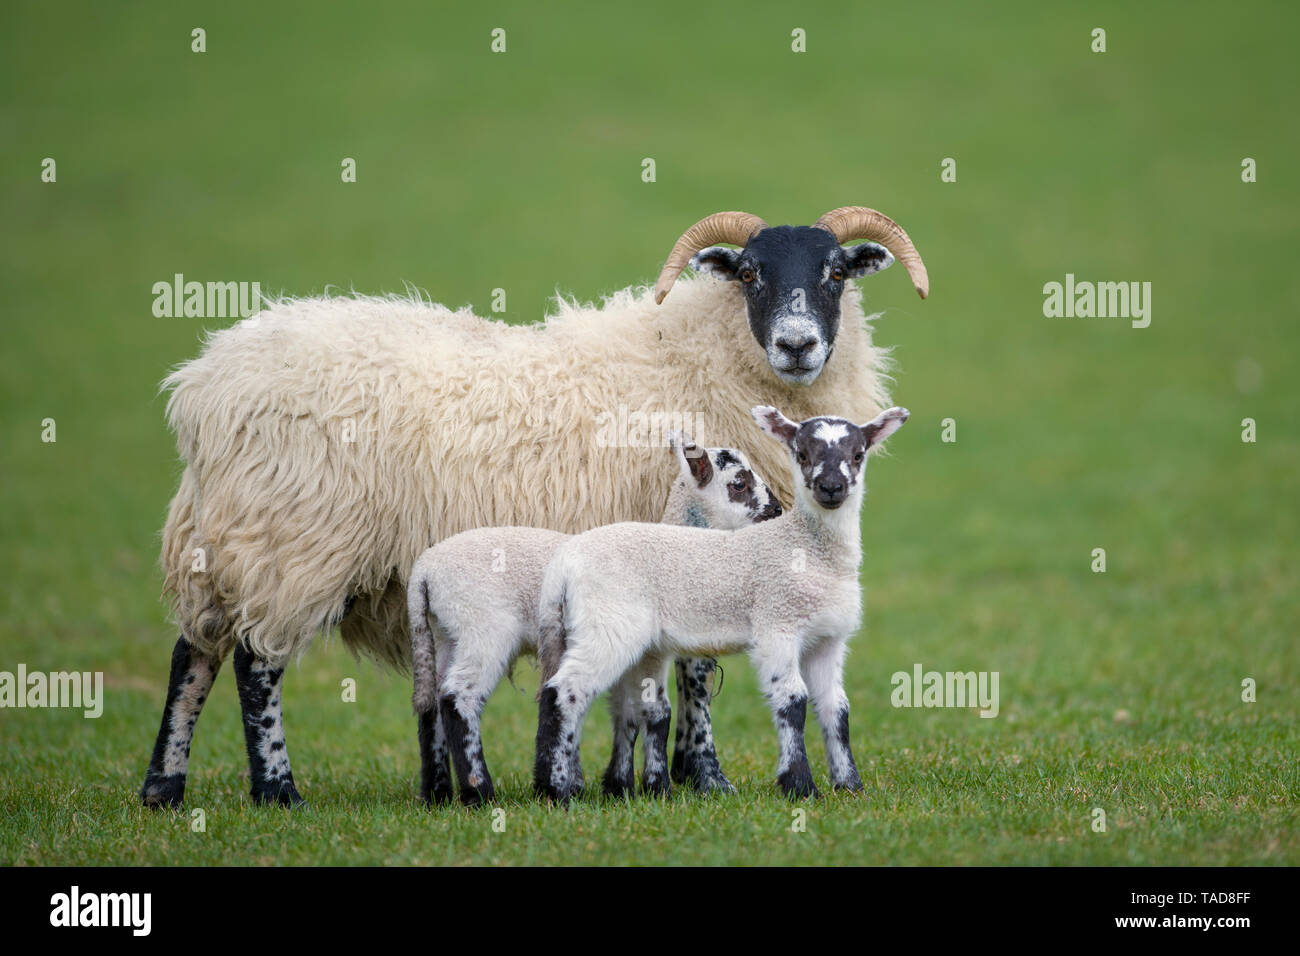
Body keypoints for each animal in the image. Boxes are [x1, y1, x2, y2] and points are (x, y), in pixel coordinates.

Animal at [405, 437, 774, 806]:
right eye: (740, 483)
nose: (777, 511)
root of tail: (424, 572)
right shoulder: (646, 650)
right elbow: (655, 714)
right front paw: (654, 790)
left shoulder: (638, 654)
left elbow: (630, 714)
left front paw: (620, 787)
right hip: (485, 629)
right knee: (459, 698)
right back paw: (482, 792)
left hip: (446, 634)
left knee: (431, 705)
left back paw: (437, 793)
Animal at [533, 400, 909, 806]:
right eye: (802, 454)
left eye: (858, 454)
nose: (831, 488)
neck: (806, 548)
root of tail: (563, 564)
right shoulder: (776, 625)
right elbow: (792, 702)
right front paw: (800, 786)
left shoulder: (827, 640)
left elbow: (836, 708)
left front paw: (850, 786)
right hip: (609, 624)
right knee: (564, 691)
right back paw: (558, 791)